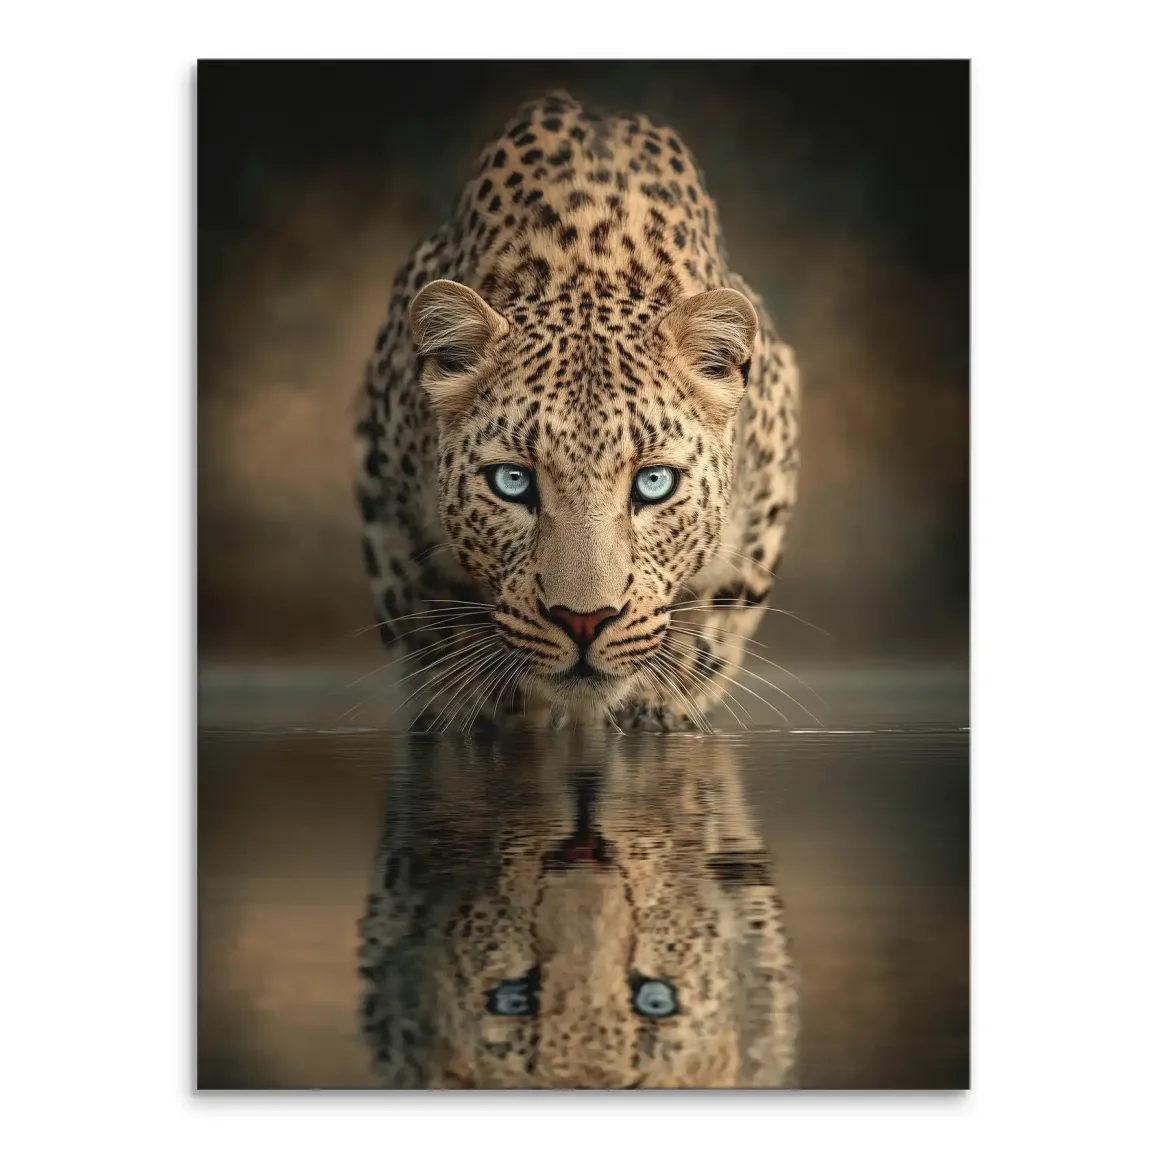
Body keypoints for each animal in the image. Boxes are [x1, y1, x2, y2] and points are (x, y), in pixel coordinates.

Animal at [354, 90, 800, 732]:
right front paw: (481, 710)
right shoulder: (388, 509)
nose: (583, 620)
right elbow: (434, 634)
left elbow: (711, 627)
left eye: (655, 483)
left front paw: (656, 706)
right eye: (512, 482)